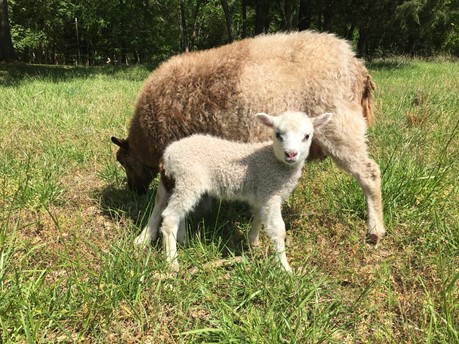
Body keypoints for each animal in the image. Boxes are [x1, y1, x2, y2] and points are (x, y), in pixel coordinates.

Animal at [113, 31, 386, 245]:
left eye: (124, 162)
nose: (134, 190)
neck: (147, 137)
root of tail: (357, 66)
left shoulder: (170, 157)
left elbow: (160, 200)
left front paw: (145, 236)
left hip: (340, 127)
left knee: (369, 173)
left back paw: (375, 230)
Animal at [135, 111, 332, 272]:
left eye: (307, 136)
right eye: (278, 134)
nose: (291, 154)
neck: (274, 162)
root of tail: (168, 153)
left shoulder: (262, 193)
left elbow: (258, 217)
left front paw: (253, 242)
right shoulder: (270, 191)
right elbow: (279, 230)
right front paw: (285, 268)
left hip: (179, 181)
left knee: (171, 206)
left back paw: (181, 239)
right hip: (189, 178)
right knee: (170, 216)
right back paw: (172, 261)